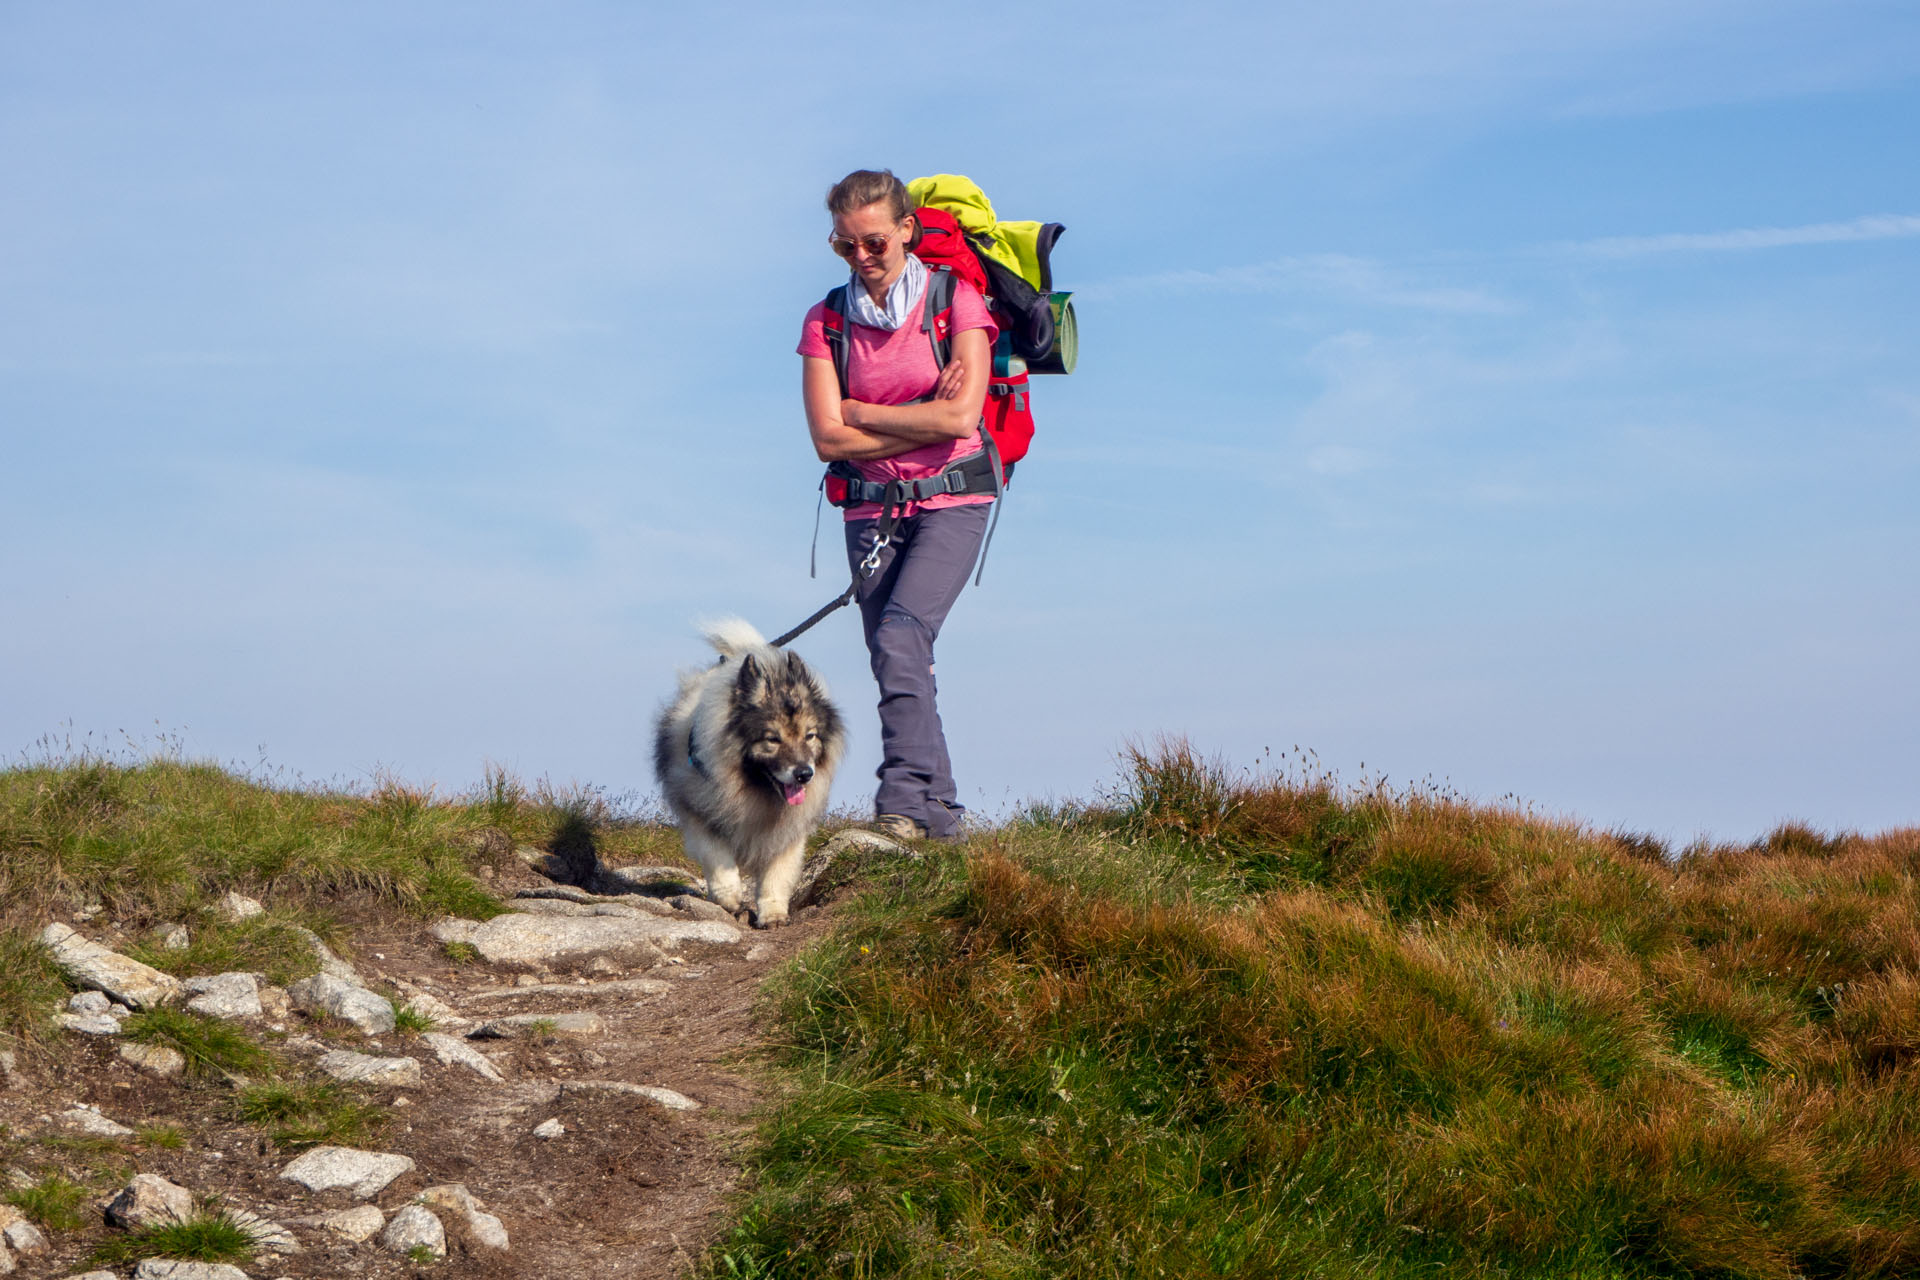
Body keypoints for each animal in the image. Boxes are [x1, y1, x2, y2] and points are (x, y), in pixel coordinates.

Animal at [648, 617, 844, 924]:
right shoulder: (701, 812)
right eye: (772, 739)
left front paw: (773, 913)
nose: (804, 774)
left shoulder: (788, 832)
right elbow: (718, 858)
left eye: (810, 736)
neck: (755, 791)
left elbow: (777, 874)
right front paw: (728, 896)